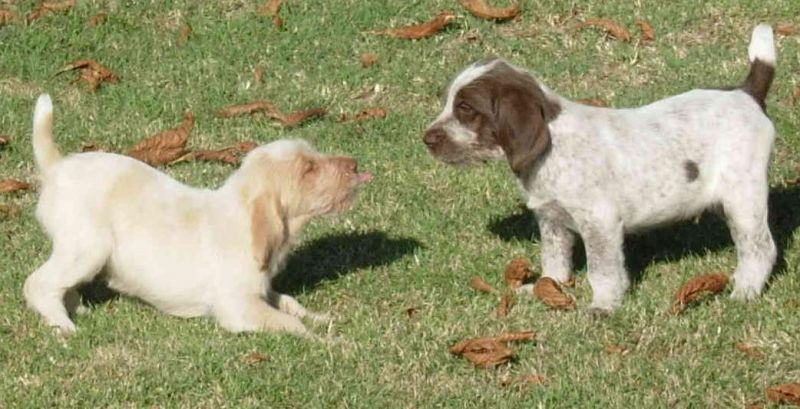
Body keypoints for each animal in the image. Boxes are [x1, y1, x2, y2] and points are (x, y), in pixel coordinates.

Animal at [24, 95, 372, 334]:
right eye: (308, 169)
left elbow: (290, 303)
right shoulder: (239, 307)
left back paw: (77, 309)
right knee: (37, 284)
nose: (355, 164)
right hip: (88, 248)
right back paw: (63, 325)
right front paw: (330, 342)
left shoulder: (261, 292)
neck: (243, 213)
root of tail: (56, 167)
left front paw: (322, 318)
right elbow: (289, 324)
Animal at [424, 23, 780, 310]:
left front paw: (604, 305)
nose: (426, 139)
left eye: (466, 109)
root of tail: (746, 93)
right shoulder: (552, 221)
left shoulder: (600, 222)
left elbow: (603, 269)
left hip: (743, 198)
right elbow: (554, 263)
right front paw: (545, 289)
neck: (553, 148)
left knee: (760, 249)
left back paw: (745, 291)